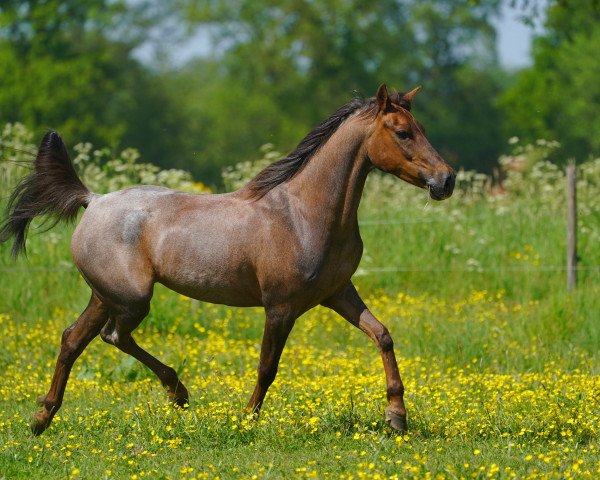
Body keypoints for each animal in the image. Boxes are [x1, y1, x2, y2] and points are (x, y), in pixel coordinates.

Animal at [0, 83, 454, 436]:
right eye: (402, 132)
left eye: (422, 129)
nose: (446, 180)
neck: (304, 214)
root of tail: (93, 200)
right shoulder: (281, 307)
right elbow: (268, 367)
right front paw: (247, 420)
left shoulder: (338, 293)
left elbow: (383, 335)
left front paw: (397, 417)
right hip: (129, 298)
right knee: (107, 336)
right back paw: (173, 393)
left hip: (106, 296)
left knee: (77, 339)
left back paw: (44, 418)